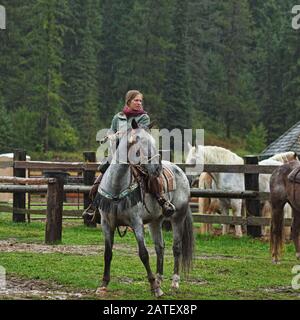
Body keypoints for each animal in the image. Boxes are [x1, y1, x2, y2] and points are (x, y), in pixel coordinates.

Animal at [95, 120, 195, 298]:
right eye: (142, 144)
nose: (157, 168)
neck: (116, 185)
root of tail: (180, 171)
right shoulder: (106, 223)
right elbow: (108, 253)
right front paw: (103, 285)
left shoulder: (136, 223)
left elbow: (143, 254)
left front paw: (155, 288)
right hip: (156, 221)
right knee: (160, 247)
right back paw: (159, 279)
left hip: (178, 217)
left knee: (176, 248)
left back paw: (174, 282)